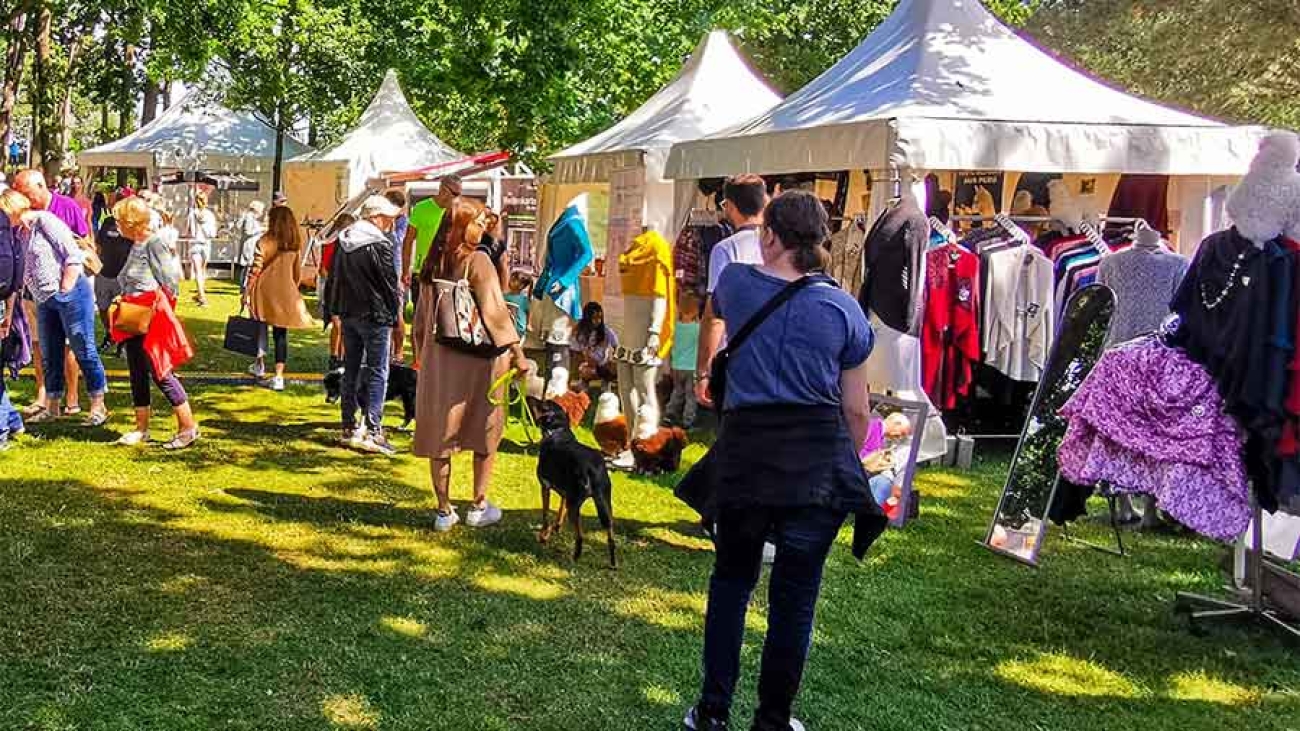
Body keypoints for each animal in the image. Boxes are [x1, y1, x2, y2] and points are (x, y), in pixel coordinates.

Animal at [527, 395, 618, 567]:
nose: (529, 397)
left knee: (580, 535)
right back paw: (613, 563)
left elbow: (545, 515)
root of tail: (592, 468)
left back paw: (575, 558)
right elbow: (559, 512)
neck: (558, 430)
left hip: (575, 505)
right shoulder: (565, 494)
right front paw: (555, 528)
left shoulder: (545, 487)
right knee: (610, 535)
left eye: (543, 404)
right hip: (604, 504)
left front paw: (544, 536)